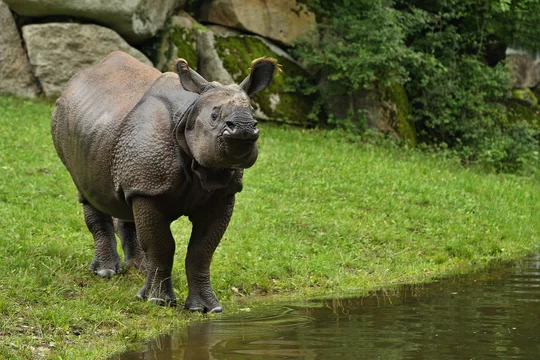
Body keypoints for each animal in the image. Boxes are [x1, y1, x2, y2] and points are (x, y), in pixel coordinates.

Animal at [51, 50, 278, 312]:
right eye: (214, 114)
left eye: (254, 117)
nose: (244, 128)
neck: (189, 113)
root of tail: (77, 78)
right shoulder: (150, 188)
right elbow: (162, 245)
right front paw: (158, 301)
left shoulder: (223, 193)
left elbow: (202, 250)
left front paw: (207, 308)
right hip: (64, 121)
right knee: (86, 192)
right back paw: (106, 272)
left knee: (124, 200)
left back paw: (139, 269)